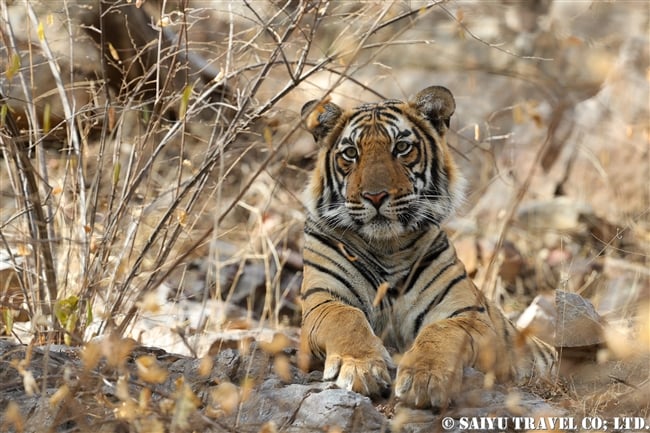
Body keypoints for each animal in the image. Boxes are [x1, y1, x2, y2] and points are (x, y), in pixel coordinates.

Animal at [296, 85, 556, 408]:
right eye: (351, 153)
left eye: (401, 148)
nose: (376, 196)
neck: (387, 246)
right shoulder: (322, 300)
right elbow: (345, 318)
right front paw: (358, 367)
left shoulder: (468, 314)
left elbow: (441, 332)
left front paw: (425, 377)